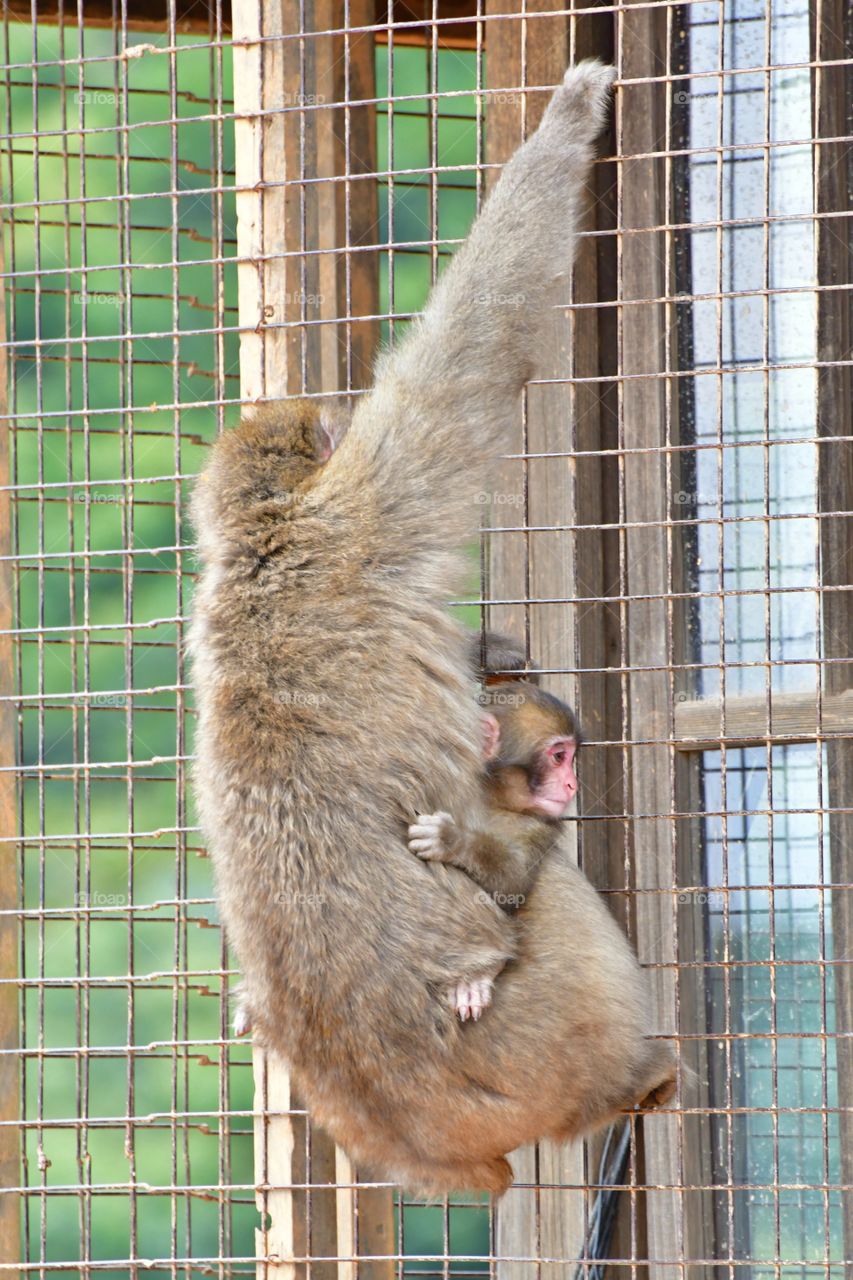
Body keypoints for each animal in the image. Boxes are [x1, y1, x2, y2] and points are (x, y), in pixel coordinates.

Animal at [190, 61, 676, 1199]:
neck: (264, 554)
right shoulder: (373, 514)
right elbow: (466, 364)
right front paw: (570, 120)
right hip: (539, 1040)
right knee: (554, 896)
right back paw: (642, 1072)